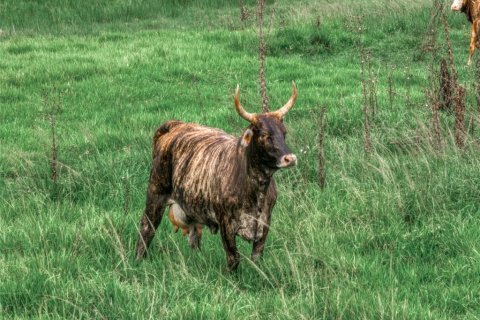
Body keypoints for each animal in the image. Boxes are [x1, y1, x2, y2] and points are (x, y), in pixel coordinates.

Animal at [135, 82, 296, 270]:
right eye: (265, 135)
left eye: (284, 133)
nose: (290, 158)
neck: (256, 189)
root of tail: (176, 125)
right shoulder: (226, 222)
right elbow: (233, 258)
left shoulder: (265, 223)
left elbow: (257, 258)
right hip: (155, 194)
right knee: (147, 228)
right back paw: (138, 260)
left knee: (194, 238)